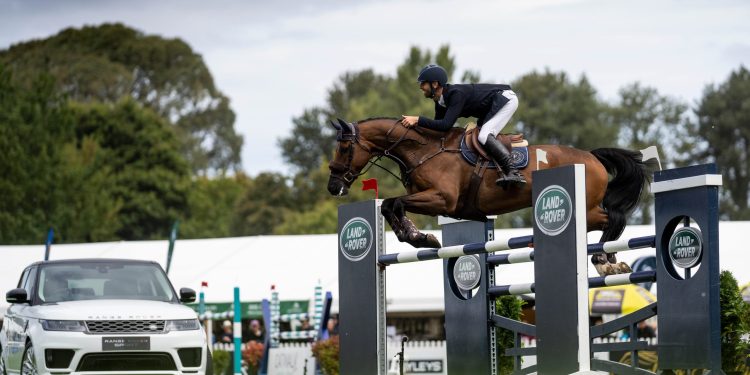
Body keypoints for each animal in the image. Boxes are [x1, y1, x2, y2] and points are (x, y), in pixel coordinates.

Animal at [328, 117, 652, 276]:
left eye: (343, 148)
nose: (333, 186)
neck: (424, 149)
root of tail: (592, 157)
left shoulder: (442, 199)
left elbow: (393, 202)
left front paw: (419, 237)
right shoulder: (437, 201)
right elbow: (389, 206)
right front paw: (418, 236)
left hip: (586, 208)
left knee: (614, 219)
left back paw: (604, 261)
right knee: (610, 222)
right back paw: (611, 260)